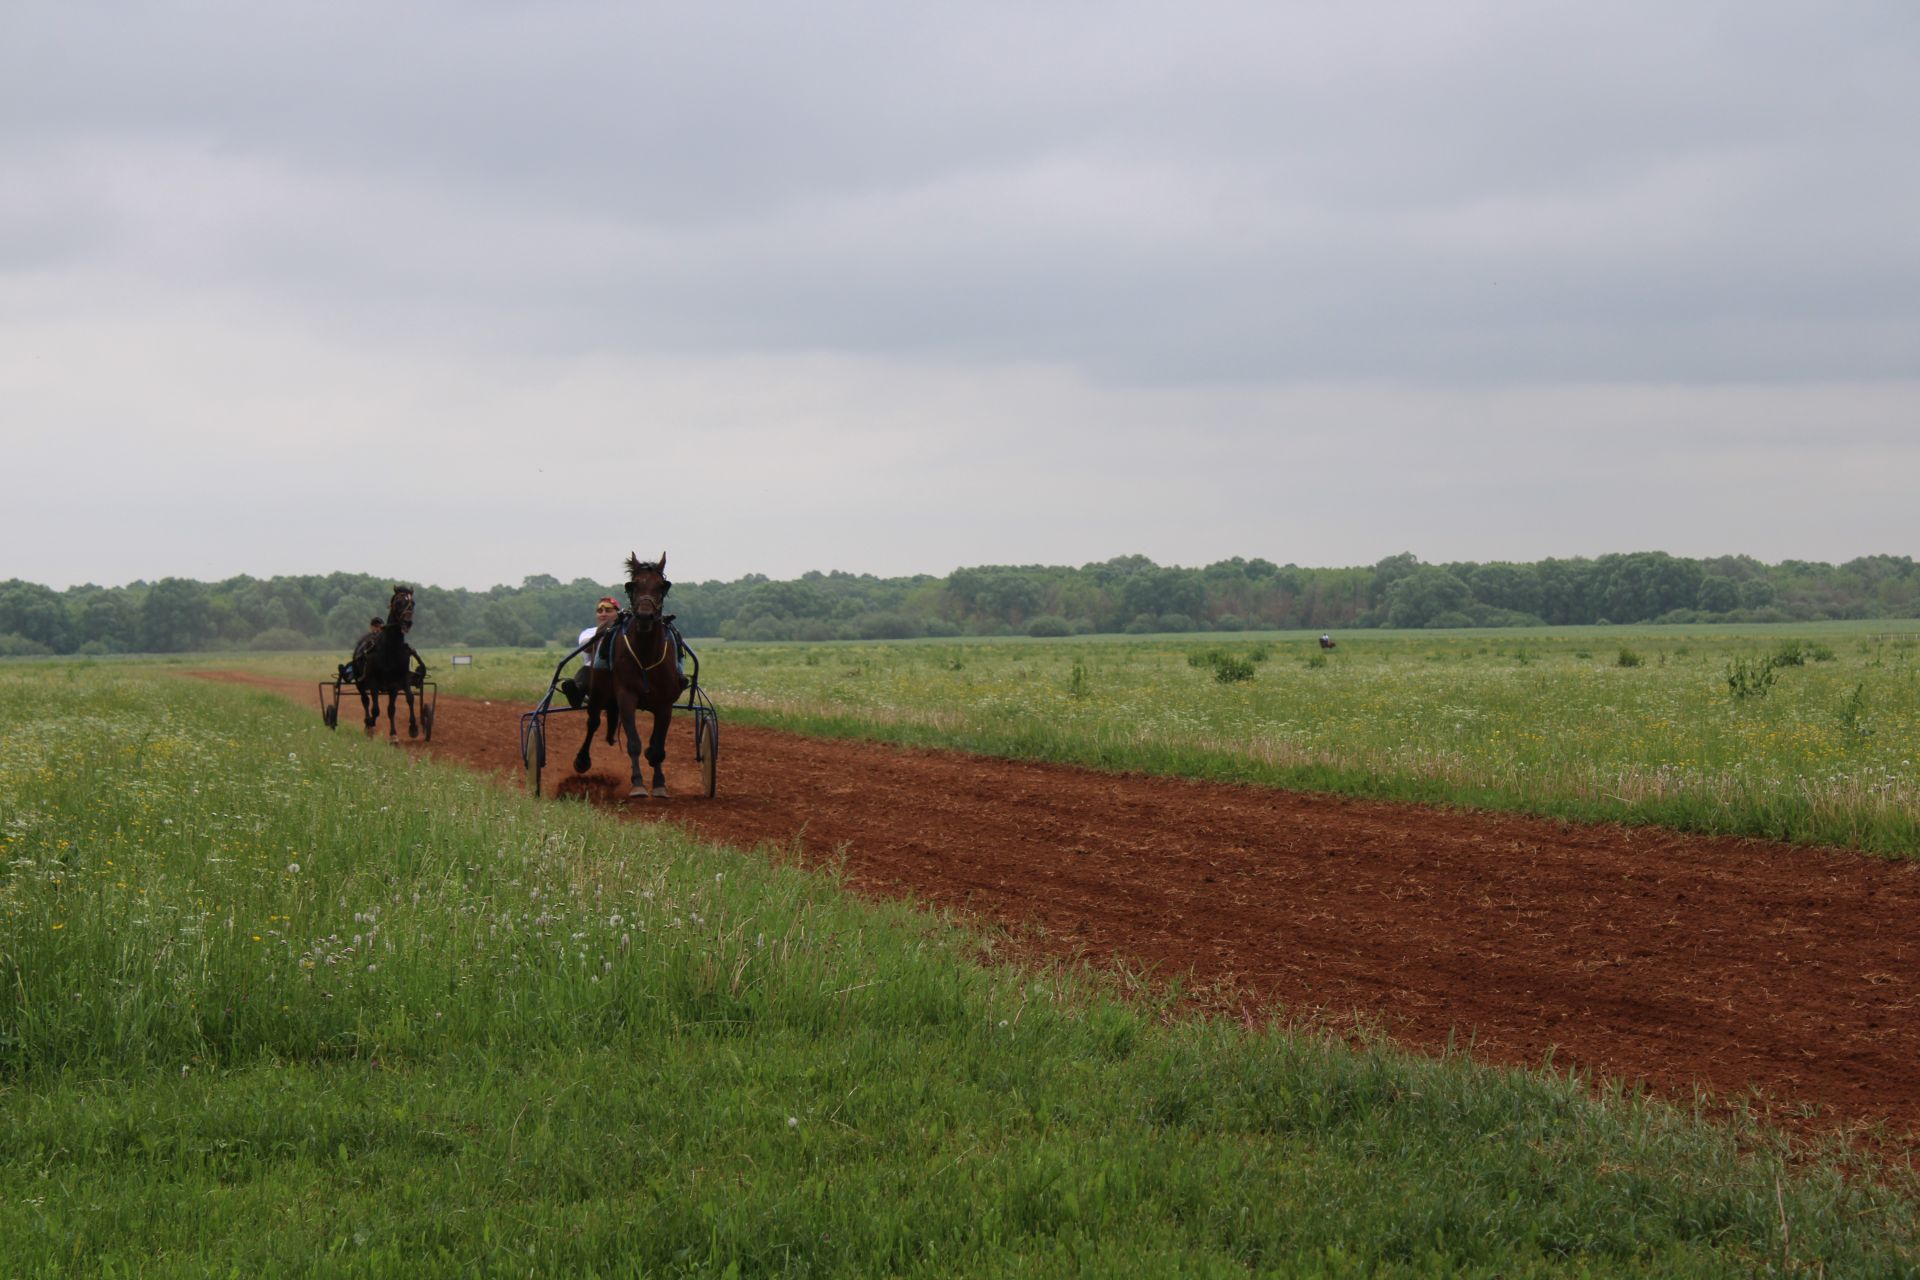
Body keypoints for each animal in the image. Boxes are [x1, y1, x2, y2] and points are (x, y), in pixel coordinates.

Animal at [572, 552, 687, 794]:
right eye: (633, 584)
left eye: (662, 586)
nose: (644, 616)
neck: (646, 655)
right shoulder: (626, 696)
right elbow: (634, 742)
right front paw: (638, 784)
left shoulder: (665, 703)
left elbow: (657, 746)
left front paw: (659, 783)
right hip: (598, 691)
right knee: (593, 721)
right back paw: (582, 760)